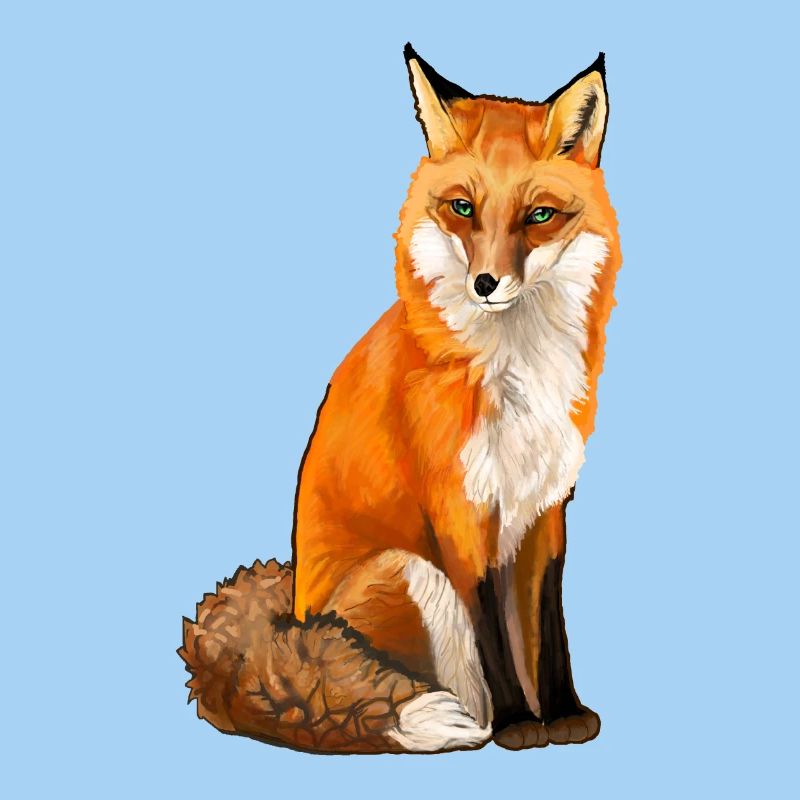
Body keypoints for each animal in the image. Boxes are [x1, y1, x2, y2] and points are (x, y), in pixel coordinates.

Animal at [181, 44, 621, 755]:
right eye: (463, 208)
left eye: (539, 216)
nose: (486, 283)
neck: (515, 370)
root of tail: (290, 618)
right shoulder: (458, 512)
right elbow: (494, 636)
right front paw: (522, 724)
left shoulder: (545, 507)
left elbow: (549, 627)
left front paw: (563, 712)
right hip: (411, 570)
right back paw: (471, 722)